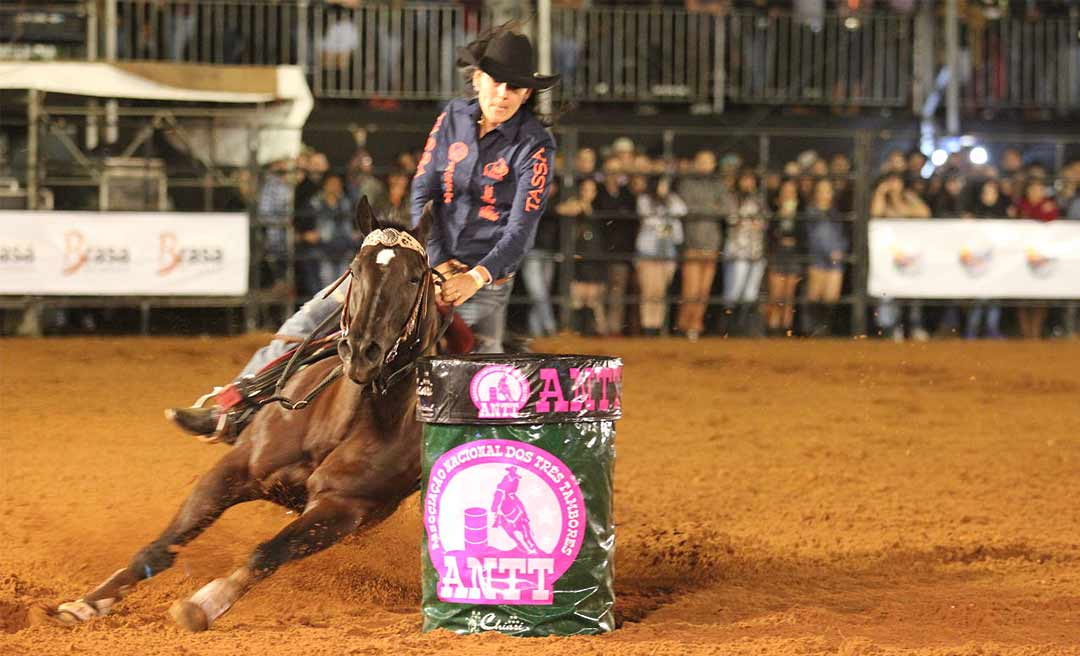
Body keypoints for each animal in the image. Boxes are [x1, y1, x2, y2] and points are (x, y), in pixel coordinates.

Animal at [52, 196, 440, 631]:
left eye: (415, 277)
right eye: (356, 269)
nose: (361, 351)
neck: (340, 425)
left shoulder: (340, 509)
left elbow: (266, 553)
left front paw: (204, 603)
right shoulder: (234, 469)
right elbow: (162, 546)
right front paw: (88, 603)